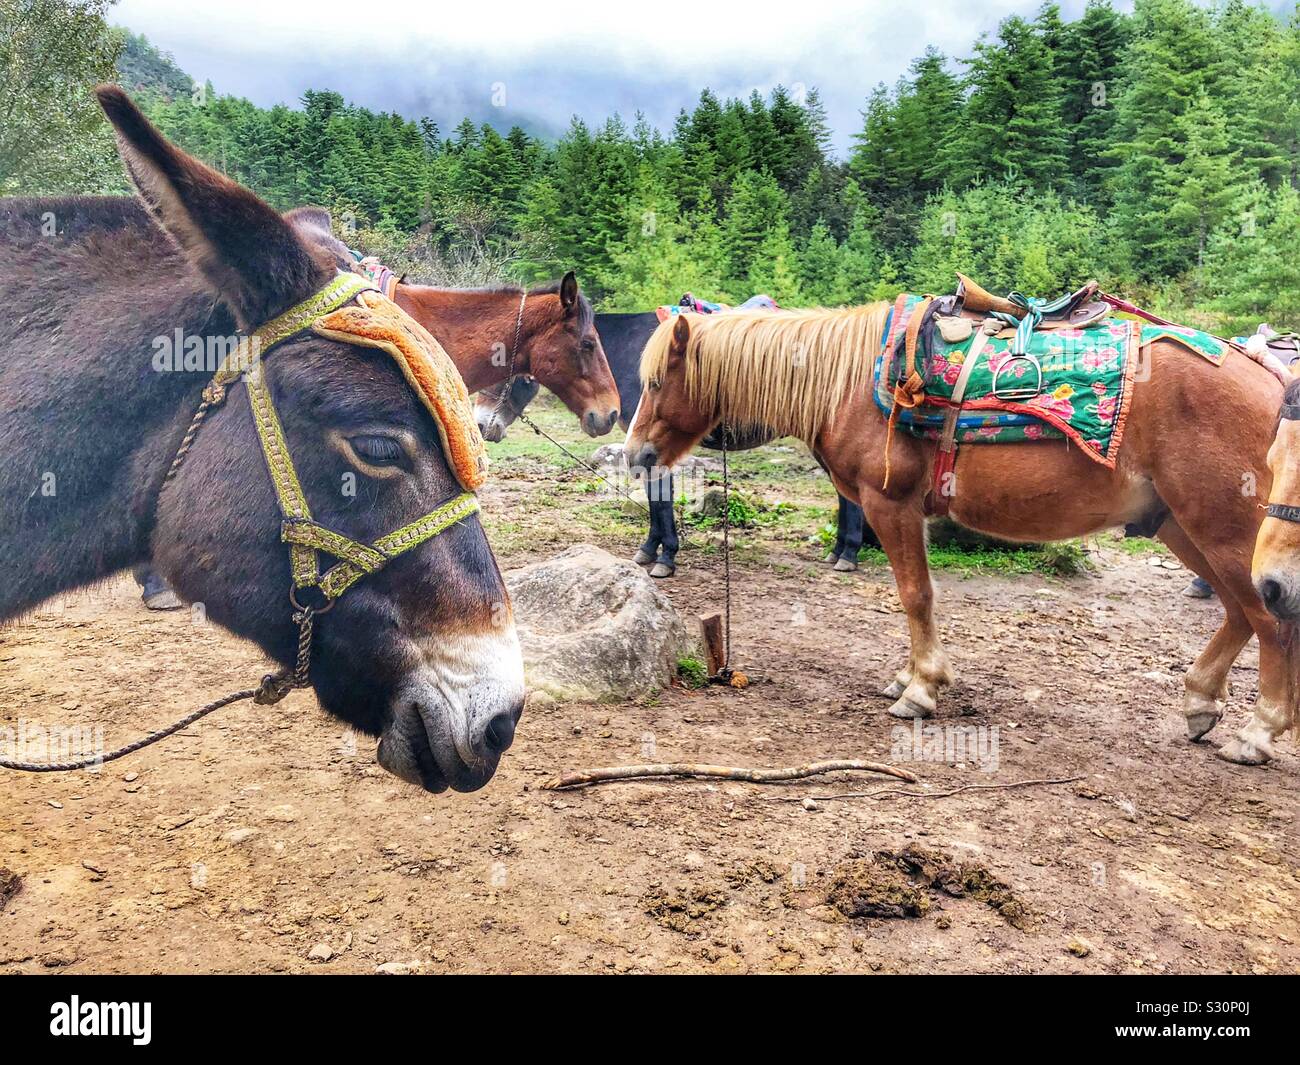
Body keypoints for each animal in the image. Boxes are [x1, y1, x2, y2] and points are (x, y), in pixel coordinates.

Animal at [476, 310, 874, 577]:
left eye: (503, 366)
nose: (481, 425)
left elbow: (662, 501)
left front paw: (665, 558)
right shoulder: (645, 447)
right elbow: (655, 502)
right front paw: (649, 551)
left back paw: (847, 555)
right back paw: (839, 550)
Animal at [626, 305, 1294, 767]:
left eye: (656, 382)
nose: (635, 455)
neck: (854, 381)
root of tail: (1269, 377)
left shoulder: (891, 506)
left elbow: (915, 596)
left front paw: (921, 688)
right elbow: (915, 598)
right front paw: (908, 676)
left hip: (1226, 532)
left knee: (1270, 620)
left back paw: (1258, 732)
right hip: (1182, 528)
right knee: (1240, 613)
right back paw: (1201, 702)